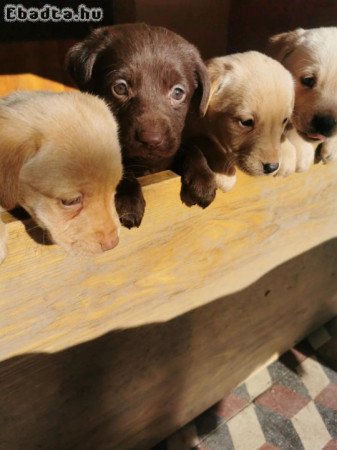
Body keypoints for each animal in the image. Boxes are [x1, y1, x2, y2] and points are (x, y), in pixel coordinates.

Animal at [180, 51, 292, 207]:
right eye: (246, 122)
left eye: (285, 120)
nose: (272, 167)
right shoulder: (187, 131)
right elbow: (206, 140)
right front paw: (223, 173)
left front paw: (288, 151)